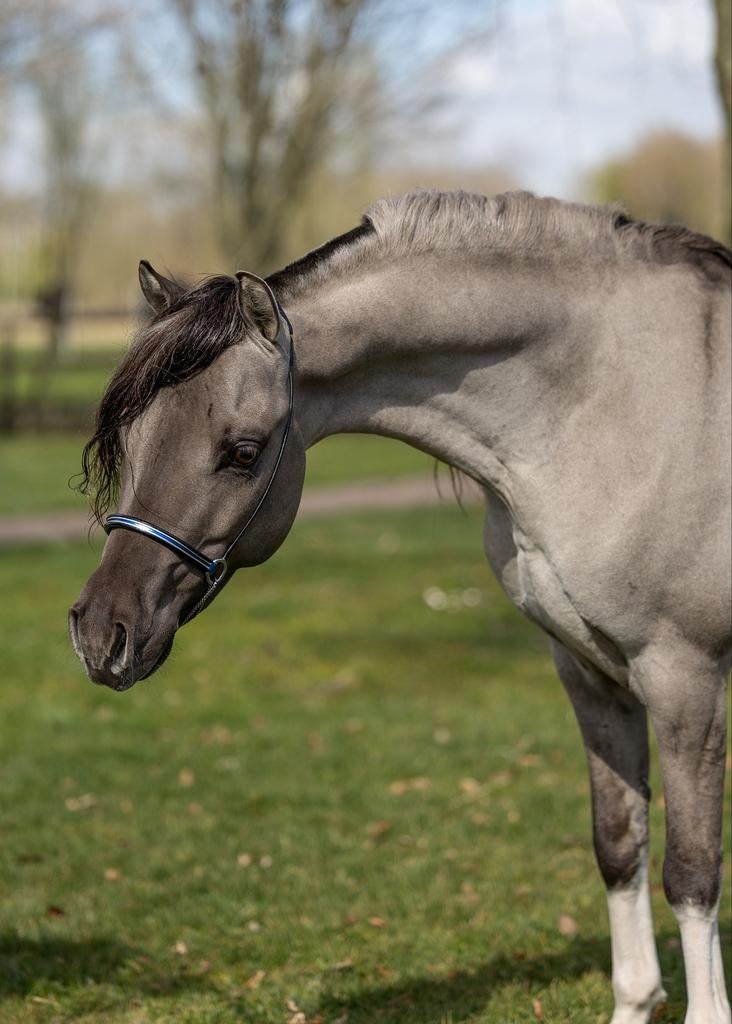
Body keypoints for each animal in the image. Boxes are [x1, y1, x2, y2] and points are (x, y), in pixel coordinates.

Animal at [69, 190, 731, 1024]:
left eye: (243, 452)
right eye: (128, 438)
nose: (101, 633)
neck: (611, 396)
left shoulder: (684, 679)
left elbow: (693, 872)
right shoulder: (589, 673)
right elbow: (618, 845)